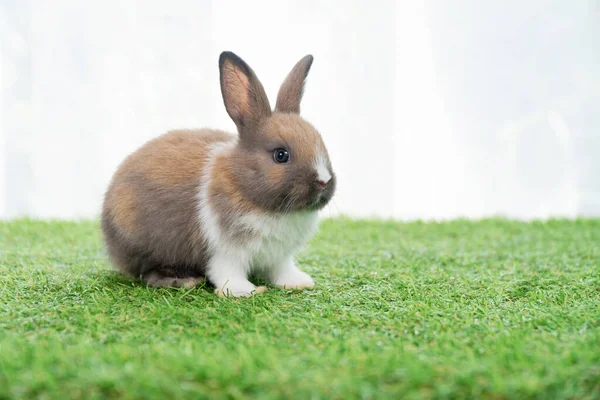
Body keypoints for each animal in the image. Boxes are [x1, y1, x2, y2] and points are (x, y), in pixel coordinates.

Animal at [103, 51, 338, 296]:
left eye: (321, 143)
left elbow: (281, 270)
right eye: (281, 155)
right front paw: (245, 291)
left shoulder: (278, 256)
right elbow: (227, 272)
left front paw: (298, 282)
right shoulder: (226, 251)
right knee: (148, 273)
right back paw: (183, 280)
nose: (324, 180)